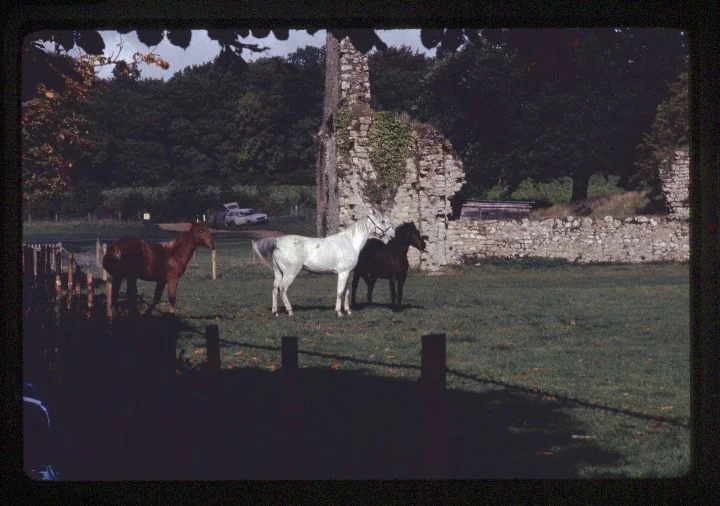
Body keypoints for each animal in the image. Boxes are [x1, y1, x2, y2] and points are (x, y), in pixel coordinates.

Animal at [252, 212, 395, 317]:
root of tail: (277, 242)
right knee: (283, 290)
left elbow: (346, 292)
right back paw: (290, 311)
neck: (349, 242)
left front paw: (348, 311)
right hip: (290, 273)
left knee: (274, 290)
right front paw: (339, 312)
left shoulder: (348, 273)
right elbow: (340, 292)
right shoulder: (342, 273)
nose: (393, 234)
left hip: (279, 273)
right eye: (383, 221)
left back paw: (275, 312)